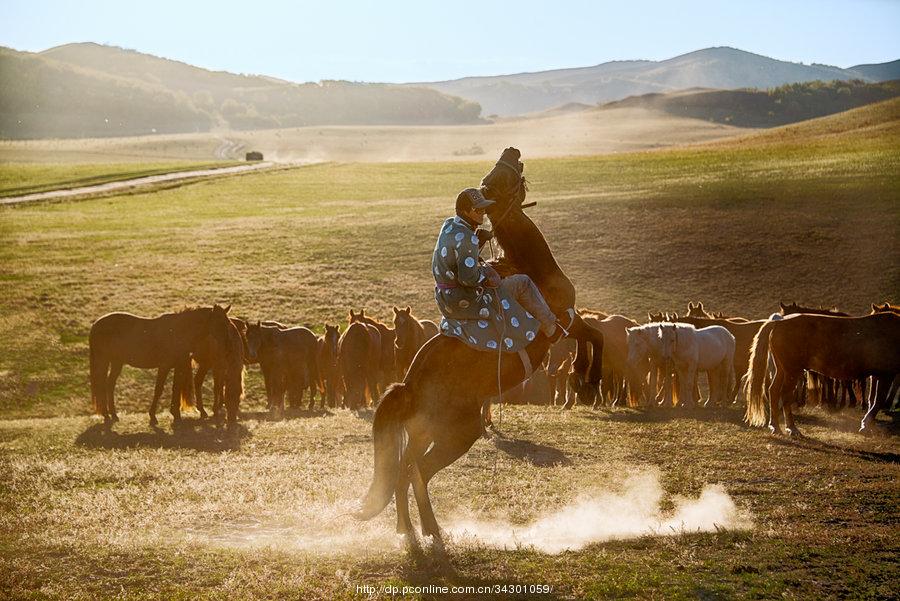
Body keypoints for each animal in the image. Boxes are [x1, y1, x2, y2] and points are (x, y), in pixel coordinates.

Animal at [89, 302, 232, 424]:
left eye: (227, 322)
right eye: (219, 323)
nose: (227, 346)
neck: (178, 331)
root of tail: (96, 324)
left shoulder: (178, 366)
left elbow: (175, 388)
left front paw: (176, 415)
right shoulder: (164, 366)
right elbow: (159, 389)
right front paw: (153, 416)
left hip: (116, 362)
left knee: (110, 384)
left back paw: (113, 414)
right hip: (103, 361)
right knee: (102, 384)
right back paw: (106, 414)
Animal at [354, 148, 604, 540]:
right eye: (494, 180)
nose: (511, 152)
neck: (530, 267)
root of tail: (410, 386)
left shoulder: (569, 321)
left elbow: (593, 337)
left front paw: (583, 381)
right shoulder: (564, 320)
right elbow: (595, 336)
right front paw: (586, 382)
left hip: (423, 434)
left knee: (403, 471)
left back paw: (407, 529)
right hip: (458, 435)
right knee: (417, 471)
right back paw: (431, 529)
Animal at [744, 312, 900, 434]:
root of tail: (779, 322)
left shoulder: (878, 375)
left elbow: (873, 400)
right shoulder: (886, 375)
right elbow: (878, 401)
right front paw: (866, 425)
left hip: (783, 370)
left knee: (773, 391)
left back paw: (775, 426)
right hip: (792, 370)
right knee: (785, 395)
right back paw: (792, 428)